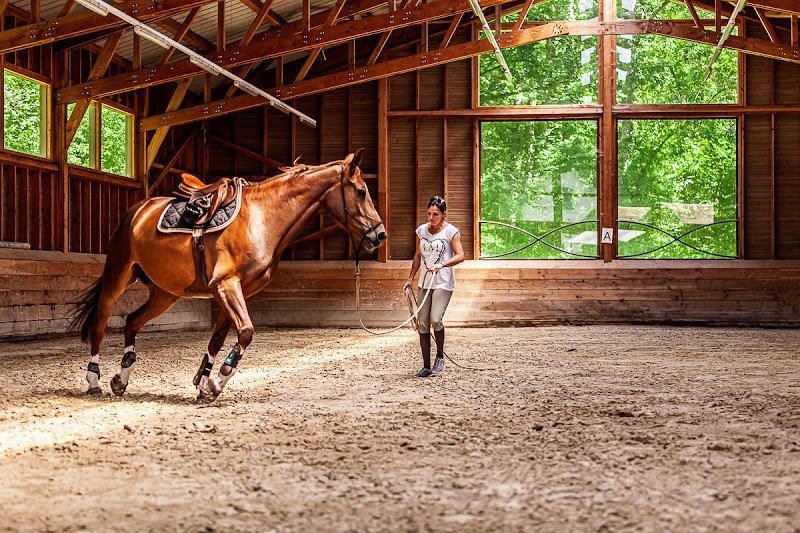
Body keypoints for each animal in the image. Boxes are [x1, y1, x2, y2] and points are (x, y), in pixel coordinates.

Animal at [70, 149, 386, 402]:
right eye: (361, 191)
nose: (379, 235)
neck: (262, 218)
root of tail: (137, 210)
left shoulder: (238, 291)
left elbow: (218, 339)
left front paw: (204, 383)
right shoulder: (226, 286)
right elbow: (245, 332)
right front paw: (217, 381)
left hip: (165, 293)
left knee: (132, 321)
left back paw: (121, 379)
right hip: (118, 275)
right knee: (100, 324)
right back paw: (94, 380)